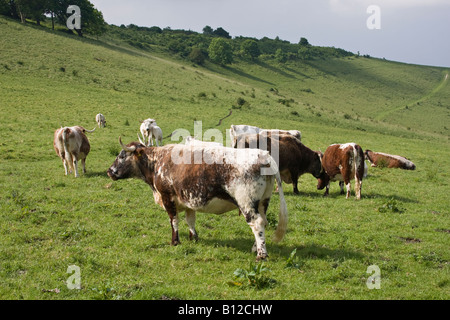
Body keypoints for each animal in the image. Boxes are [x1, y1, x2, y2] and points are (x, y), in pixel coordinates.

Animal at [107, 137, 286, 260]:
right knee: (263, 221)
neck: (157, 161)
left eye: (121, 156)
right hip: (263, 202)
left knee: (257, 223)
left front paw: (175, 241)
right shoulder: (187, 200)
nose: (109, 171)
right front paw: (194, 237)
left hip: (247, 203)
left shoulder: (167, 197)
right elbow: (190, 220)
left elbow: (174, 221)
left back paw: (261, 255)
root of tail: (263, 155)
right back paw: (255, 248)